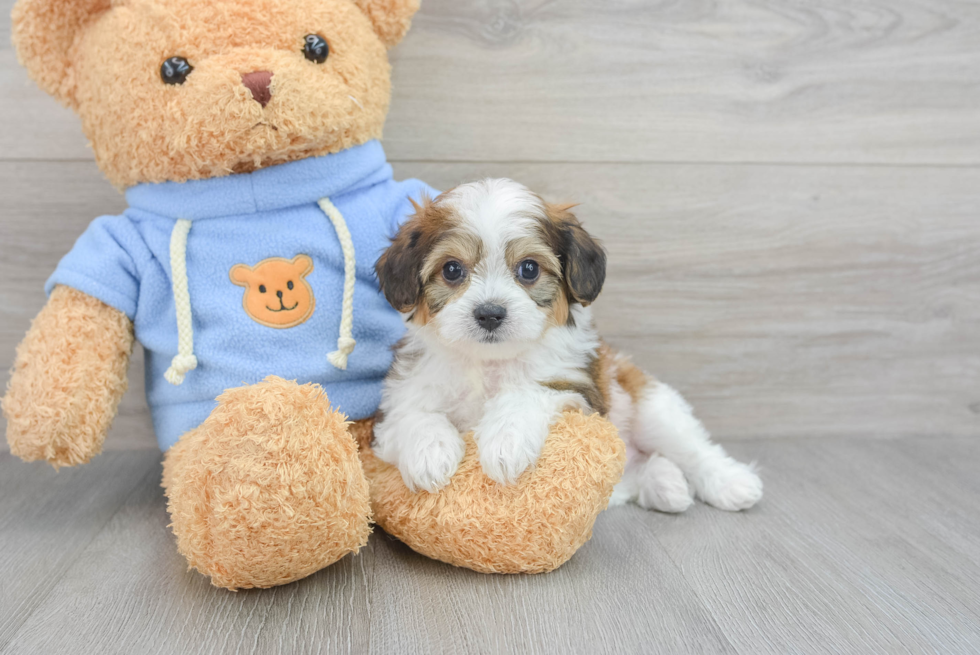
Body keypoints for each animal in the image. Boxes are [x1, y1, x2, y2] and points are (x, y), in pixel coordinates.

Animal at [372, 178, 760, 512]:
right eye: (452, 270)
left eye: (529, 269)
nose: (490, 313)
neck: (489, 363)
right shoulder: (393, 412)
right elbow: (414, 415)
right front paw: (429, 453)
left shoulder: (579, 391)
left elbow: (528, 392)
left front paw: (505, 441)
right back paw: (666, 484)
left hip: (652, 407)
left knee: (693, 449)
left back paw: (731, 482)